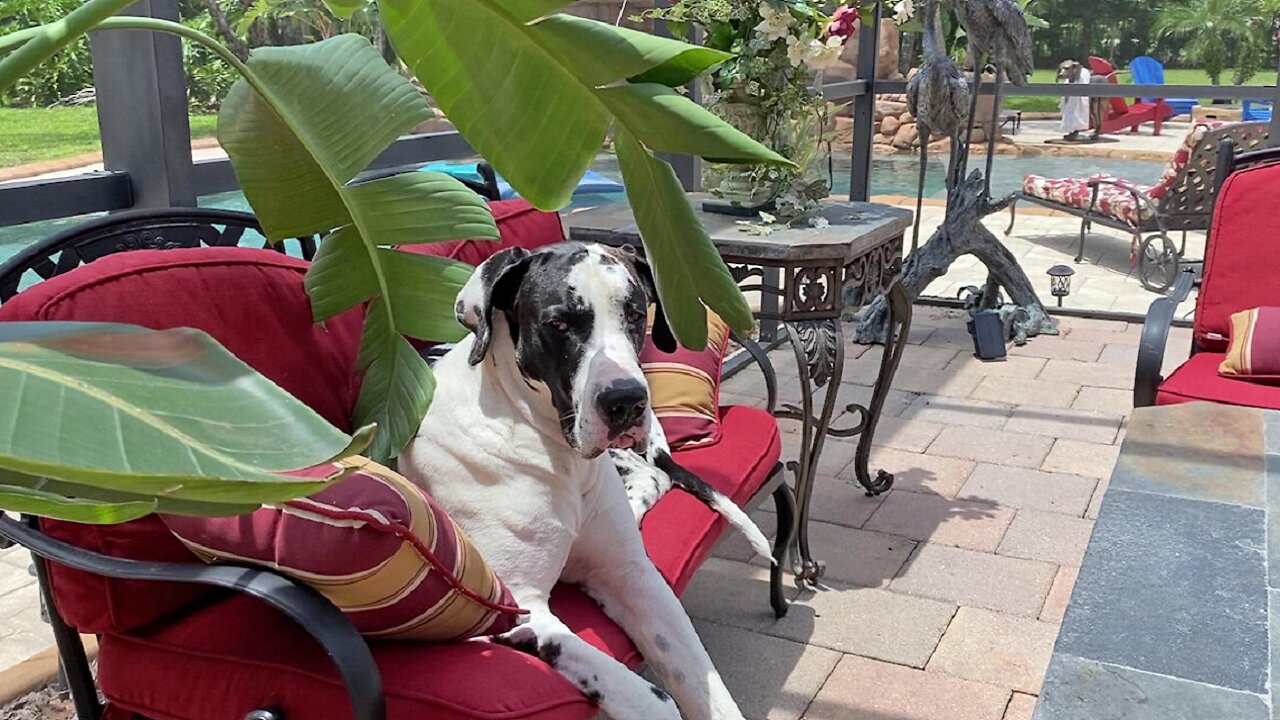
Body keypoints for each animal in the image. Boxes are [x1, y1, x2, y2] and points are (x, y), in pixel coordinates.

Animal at [404, 240, 768, 717]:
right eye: (558, 323)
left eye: (635, 315)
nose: (626, 401)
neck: (558, 458)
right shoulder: (516, 609)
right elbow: (651, 698)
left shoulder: (632, 576)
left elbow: (703, 680)